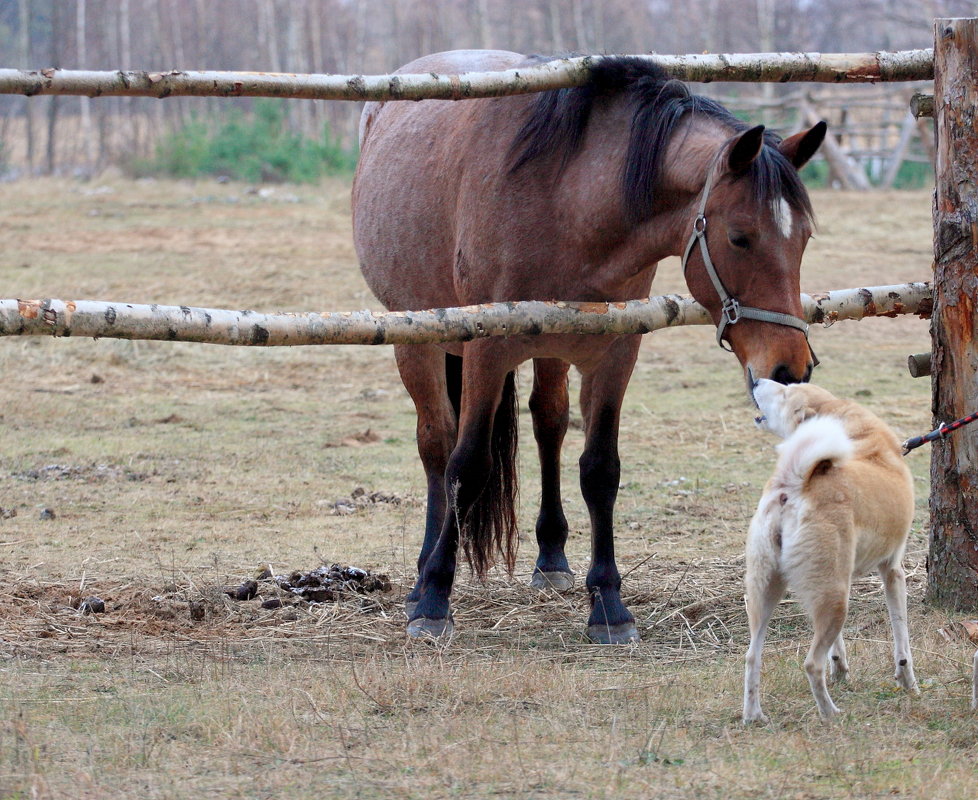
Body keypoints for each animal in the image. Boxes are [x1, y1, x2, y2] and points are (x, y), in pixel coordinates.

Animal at [350, 50, 824, 640]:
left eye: (803, 237)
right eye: (739, 237)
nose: (790, 367)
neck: (568, 197)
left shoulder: (615, 354)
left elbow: (600, 470)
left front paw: (608, 602)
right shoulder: (486, 352)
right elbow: (468, 464)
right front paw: (435, 597)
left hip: (552, 350)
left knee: (548, 422)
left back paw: (551, 556)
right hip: (417, 340)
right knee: (437, 443)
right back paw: (422, 576)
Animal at [744, 378, 920, 720]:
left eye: (786, 389)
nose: (755, 380)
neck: (861, 434)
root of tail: (795, 486)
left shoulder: (843, 576)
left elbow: (837, 646)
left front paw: (840, 670)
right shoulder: (893, 571)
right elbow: (902, 640)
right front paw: (908, 683)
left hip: (775, 591)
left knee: (752, 656)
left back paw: (753, 716)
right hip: (836, 598)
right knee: (811, 664)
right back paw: (830, 714)